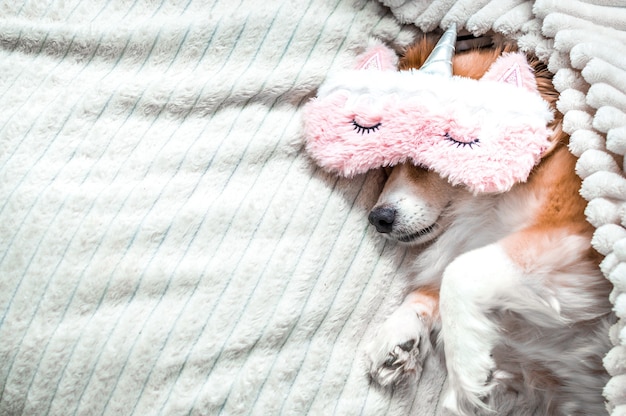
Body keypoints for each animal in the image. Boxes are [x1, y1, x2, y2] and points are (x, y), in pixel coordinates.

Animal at [364, 36, 612, 416]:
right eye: (387, 162)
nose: (378, 218)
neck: (484, 209)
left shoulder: (572, 234)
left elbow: (458, 271)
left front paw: (466, 368)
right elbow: (430, 290)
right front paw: (398, 333)